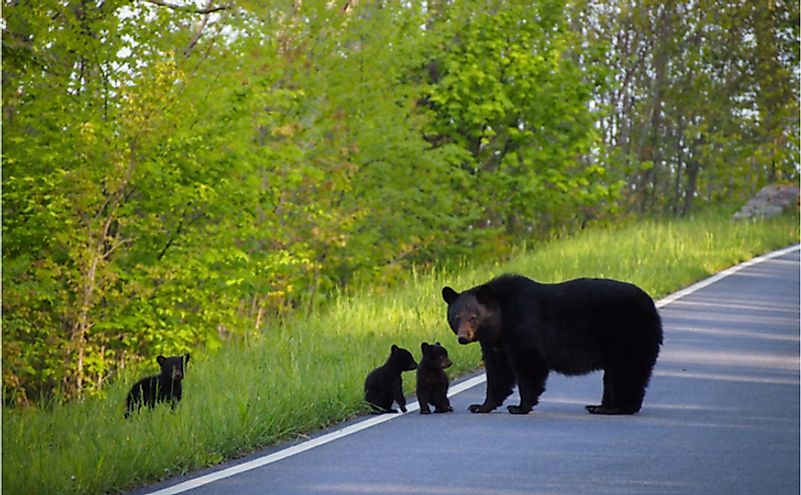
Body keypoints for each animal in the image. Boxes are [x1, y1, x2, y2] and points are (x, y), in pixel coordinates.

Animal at [440, 278, 660, 416]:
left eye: (473, 317)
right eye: (456, 317)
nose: (463, 337)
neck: (500, 320)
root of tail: (650, 303)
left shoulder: (522, 328)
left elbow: (528, 367)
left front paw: (519, 407)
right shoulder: (495, 343)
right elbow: (497, 373)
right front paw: (480, 406)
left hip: (626, 333)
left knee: (626, 371)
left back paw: (616, 408)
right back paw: (599, 406)